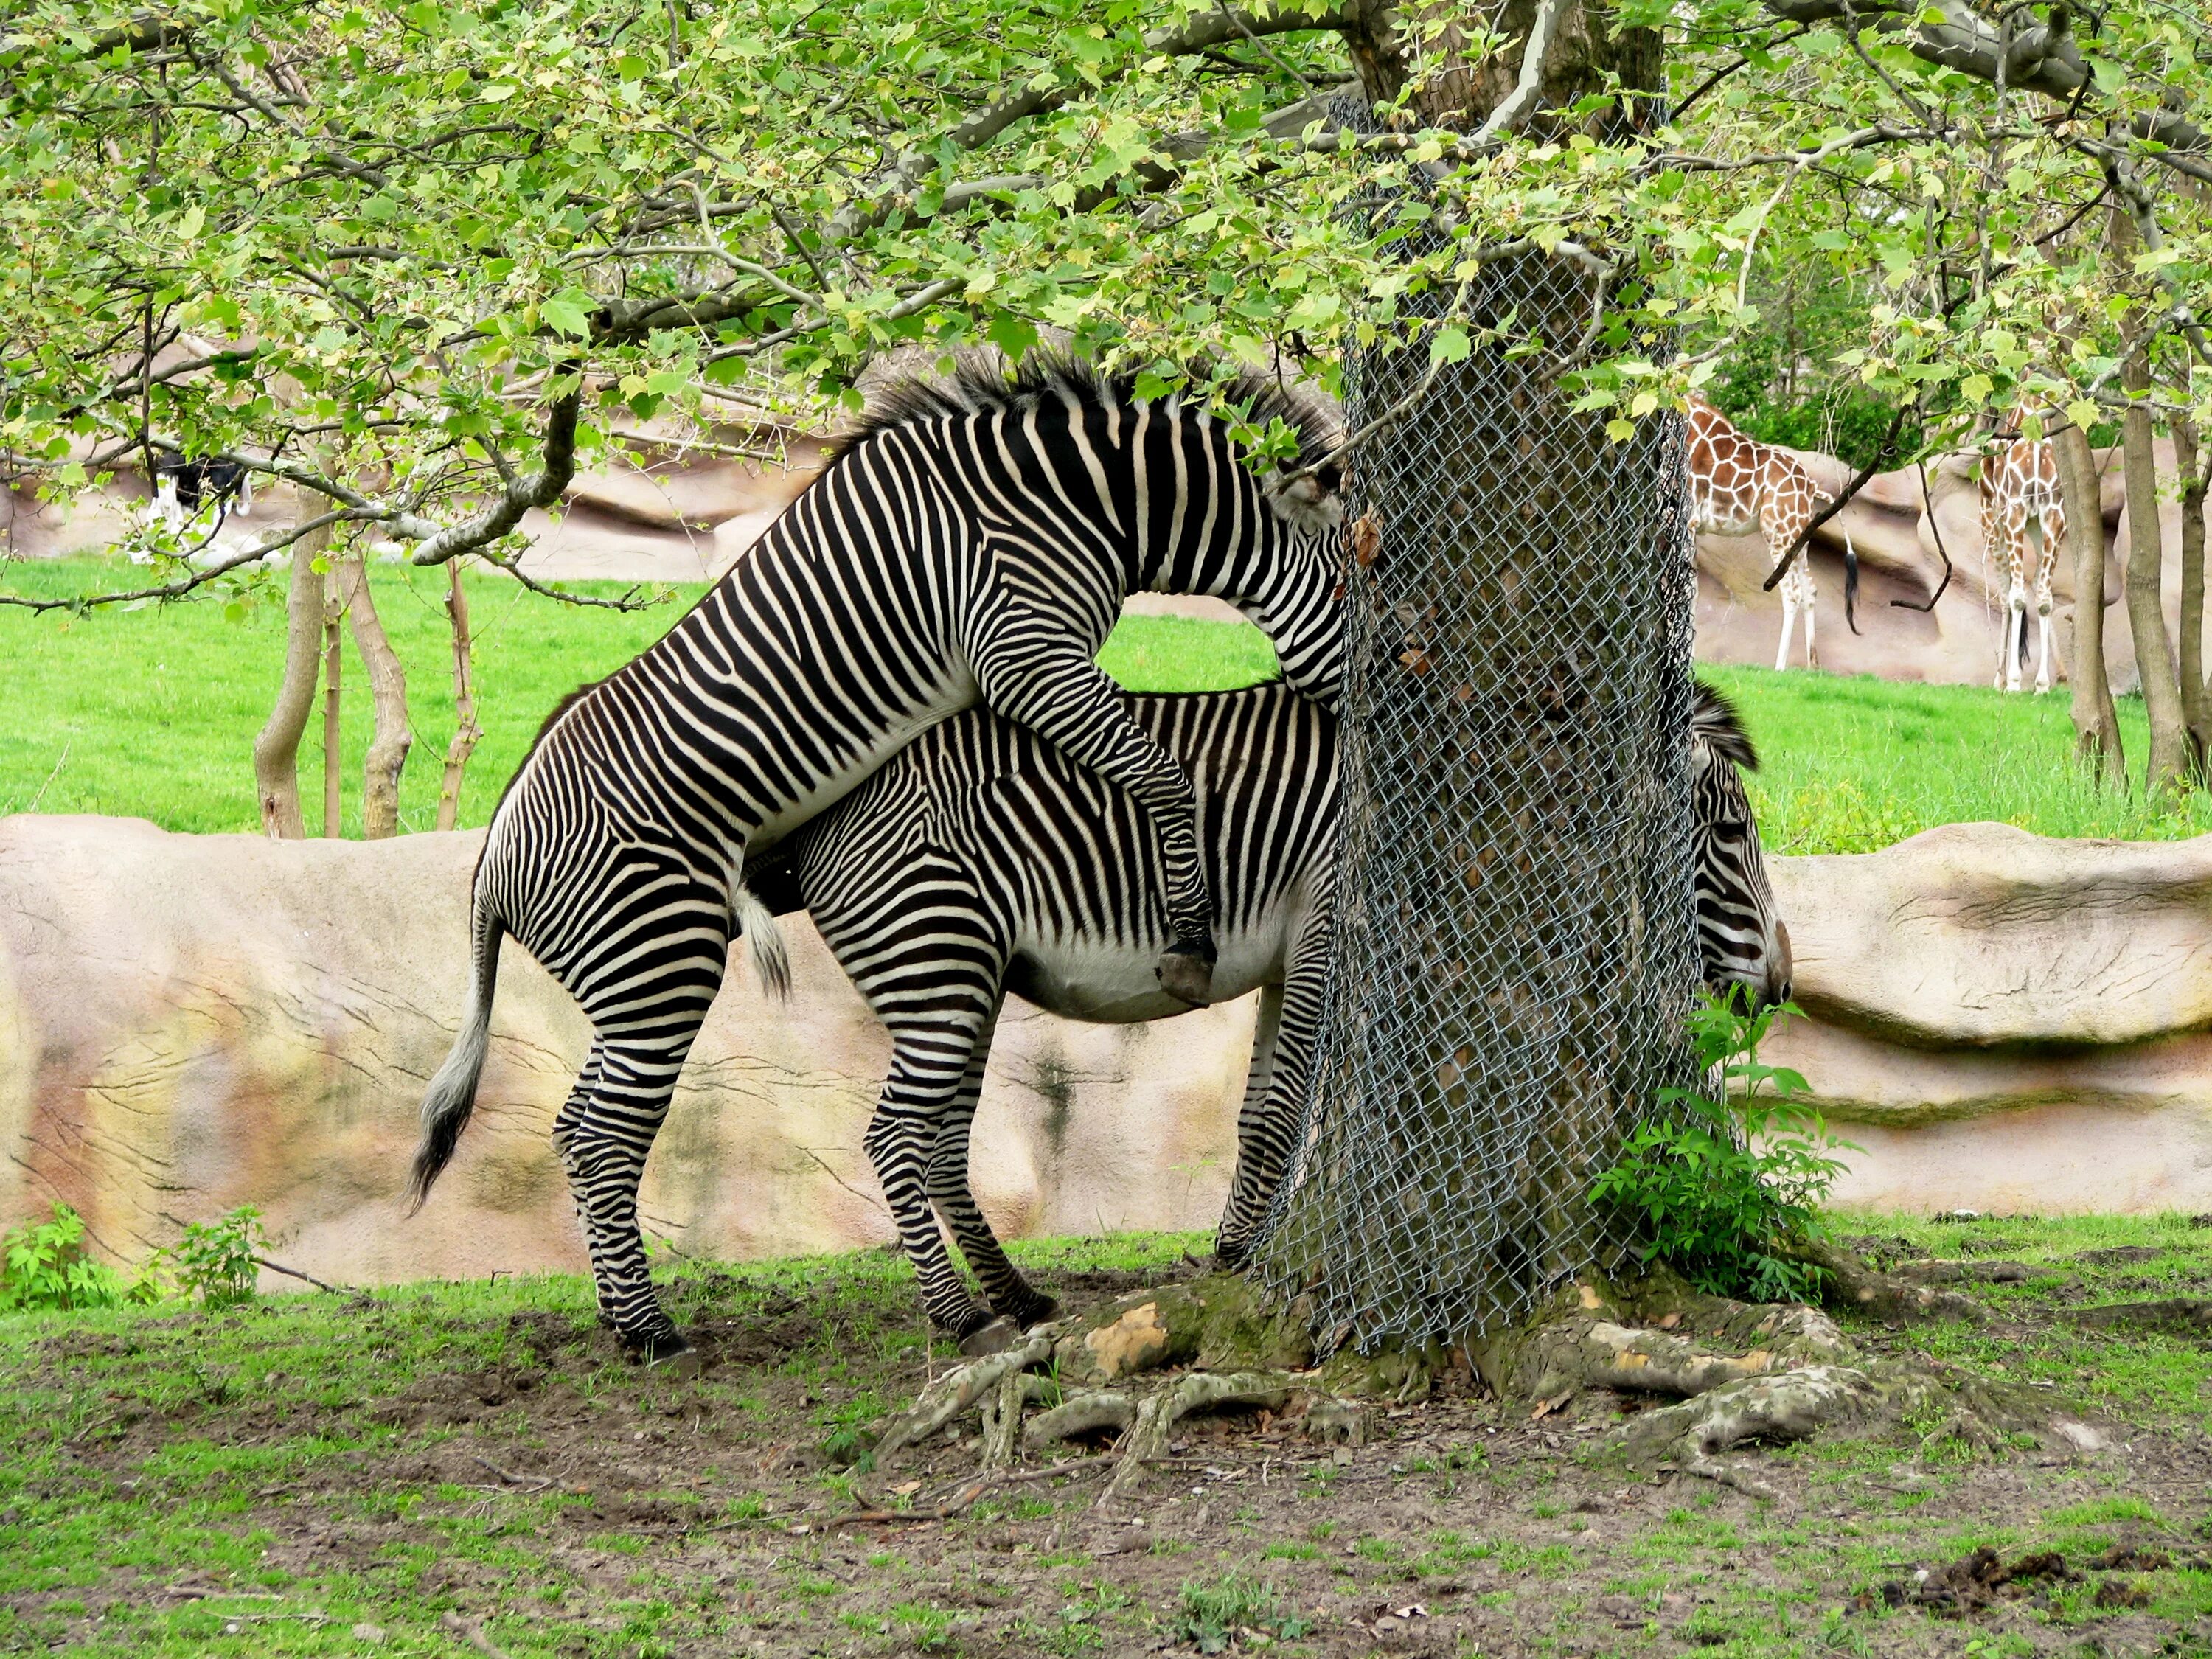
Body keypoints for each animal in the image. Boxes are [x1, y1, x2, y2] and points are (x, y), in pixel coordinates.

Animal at [407, 358, 1354, 1371]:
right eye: (1367, 581)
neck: (1071, 492)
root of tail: (492, 852)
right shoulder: (1023, 654)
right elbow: (1163, 777)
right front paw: (1186, 932)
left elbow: (1262, 1108)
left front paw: (1238, 1256)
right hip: (667, 960)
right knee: (619, 1137)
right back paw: (668, 1329)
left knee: (623, 1129)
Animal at [743, 677, 1796, 1354]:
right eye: (1731, 830)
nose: (1780, 989)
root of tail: (815, 825)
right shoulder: (1328, 923)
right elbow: (1288, 1111)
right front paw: (1248, 1256)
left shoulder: (1293, 958)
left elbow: (1262, 1118)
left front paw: (1236, 1249)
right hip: (941, 959)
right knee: (892, 1137)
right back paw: (958, 1316)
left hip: (970, 976)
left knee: (936, 1140)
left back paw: (1014, 1293)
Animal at [1690, 394, 1849, 672]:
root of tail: (1811, 487)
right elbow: (1693, 591)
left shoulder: (1684, 518)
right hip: (1798, 538)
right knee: (1810, 590)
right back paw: (1813, 666)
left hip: (1779, 532)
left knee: (1792, 593)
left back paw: (1780, 666)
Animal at [1982, 436, 2062, 695]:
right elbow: (2038, 596)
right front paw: (2039, 683)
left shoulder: (1999, 516)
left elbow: (2013, 597)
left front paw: (2011, 680)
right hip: (2042, 525)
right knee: (2039, 593)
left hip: (2005, 522)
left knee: (2011, 595)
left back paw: (2005, 679)